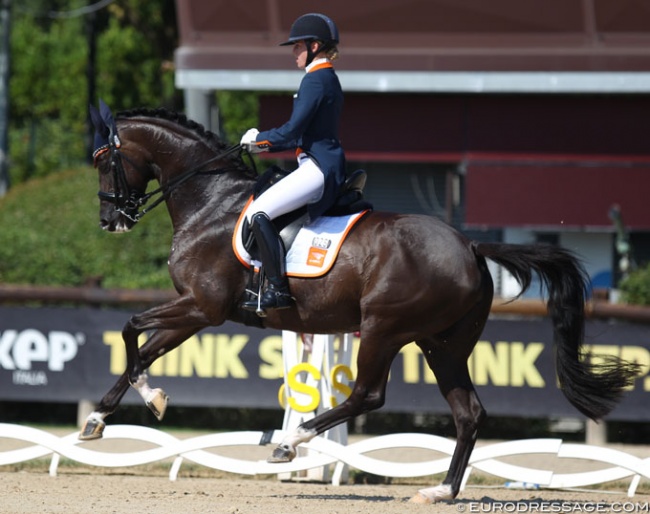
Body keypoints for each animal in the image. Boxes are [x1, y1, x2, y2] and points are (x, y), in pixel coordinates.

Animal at [85, 104, 636, 500]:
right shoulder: (194, 309)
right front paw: (108, 415)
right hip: (442, 345)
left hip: (382, 330)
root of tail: (472, 248)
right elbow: (144, 346)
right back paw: (441, 491)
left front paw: (144, 399)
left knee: (369, 395)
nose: (111, 220)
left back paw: (290, 442)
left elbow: (131, 328)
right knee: (469, 412)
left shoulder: (203, 307)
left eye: (104, 161)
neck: (211, 203)